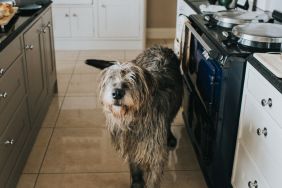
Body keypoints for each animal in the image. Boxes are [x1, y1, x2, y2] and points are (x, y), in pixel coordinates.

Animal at [98, 46, 183, 188]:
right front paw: (137, 181)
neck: (135, 118)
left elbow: (153, 175)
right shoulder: (130, 143)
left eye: (133, 78)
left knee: (169, 120)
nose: (117, 93)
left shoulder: (155, 150)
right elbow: (135, 164)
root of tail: (161, 47)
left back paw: (170, 137)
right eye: (111, 77)